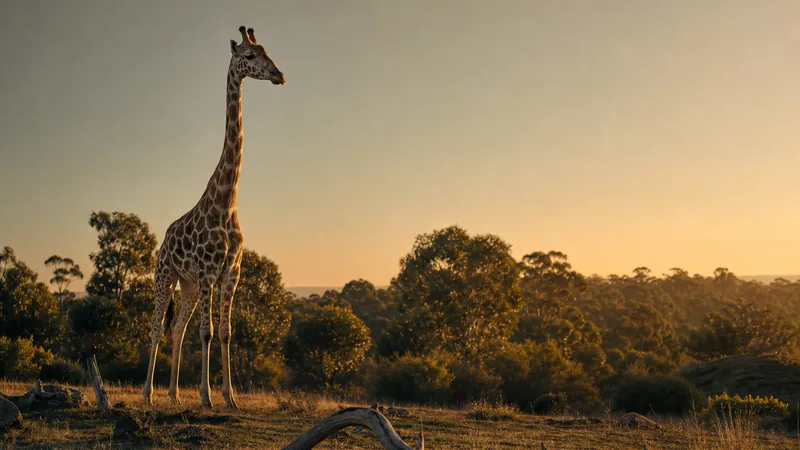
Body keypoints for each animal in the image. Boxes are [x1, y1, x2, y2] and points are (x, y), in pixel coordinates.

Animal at [142, 25, 285, 408]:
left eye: (267, 51)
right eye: (249, 56)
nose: (279, 75)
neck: (227, 201)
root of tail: (162, 242)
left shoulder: (230, 274)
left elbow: (224, 332)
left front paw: (229, 397)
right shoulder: (208, 272)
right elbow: (206, 333)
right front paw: (207, 397)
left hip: (188, 285)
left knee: (177, 329)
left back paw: (174, 395)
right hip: (166, 276)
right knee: (155, 328)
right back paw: (148, 394)